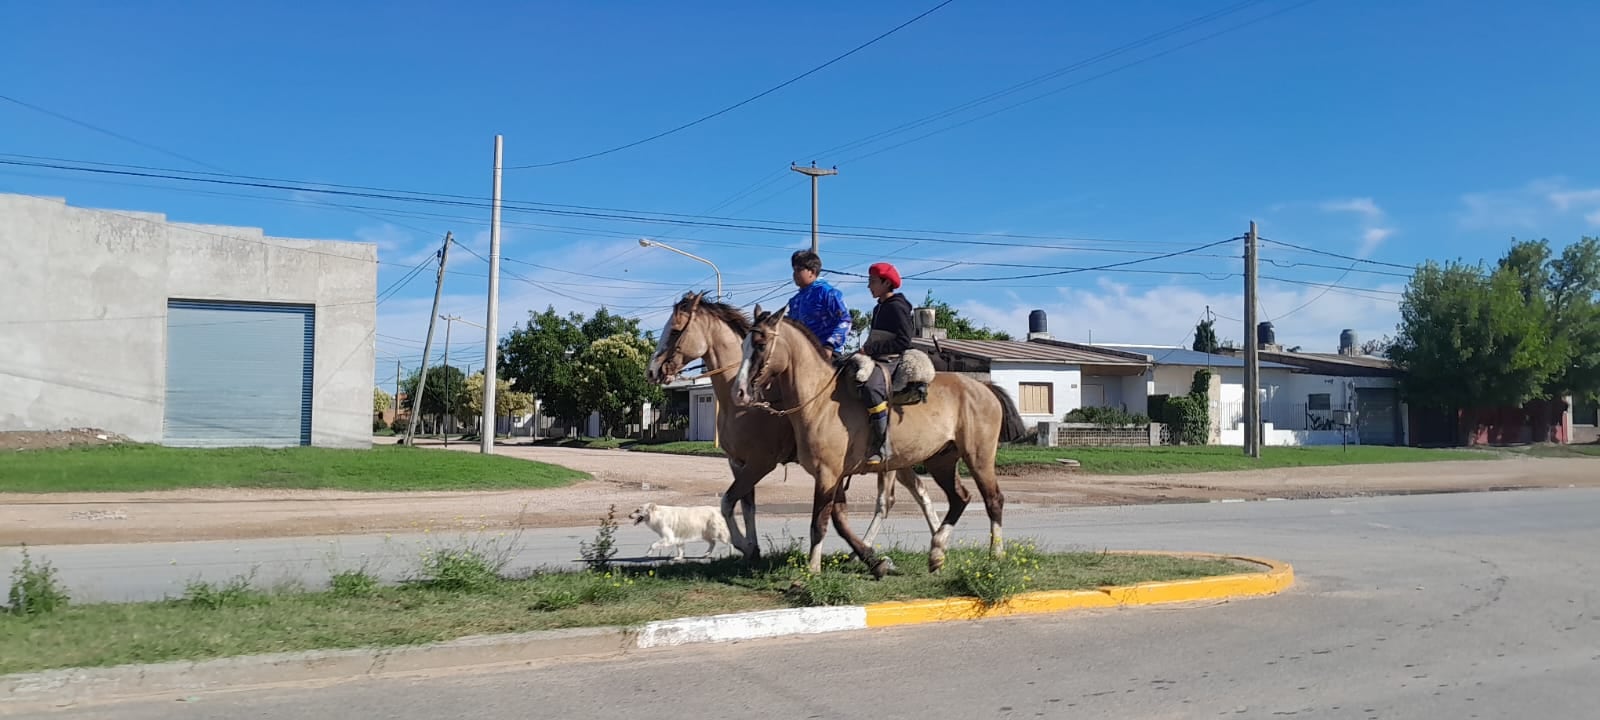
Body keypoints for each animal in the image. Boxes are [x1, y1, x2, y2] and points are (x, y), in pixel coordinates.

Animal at [640, 294, 934, 563]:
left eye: (675, 329)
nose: (652, 371)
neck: (746, 405)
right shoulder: (739, 462)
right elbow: (746, 505)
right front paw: (752, 548)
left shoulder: (761, 462)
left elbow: (728, 501)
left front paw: (744, 545)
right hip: (901, 461)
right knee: (920, 491)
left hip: (887, 465)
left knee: (886, 502)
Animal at [732, 304, 1030, 579]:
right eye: (743, 344)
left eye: (760, 344)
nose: (740, 391)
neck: (820, 401)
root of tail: (983, 388)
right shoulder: (834, 476)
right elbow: (836, 519)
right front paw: (870, 561)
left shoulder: (827, 474)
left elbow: (819, 522)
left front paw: (812, 570)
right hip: (941, 461)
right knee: (960, 498)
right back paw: (936, 553)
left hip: (979, 457)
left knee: (993, 499)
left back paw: (995, 555)